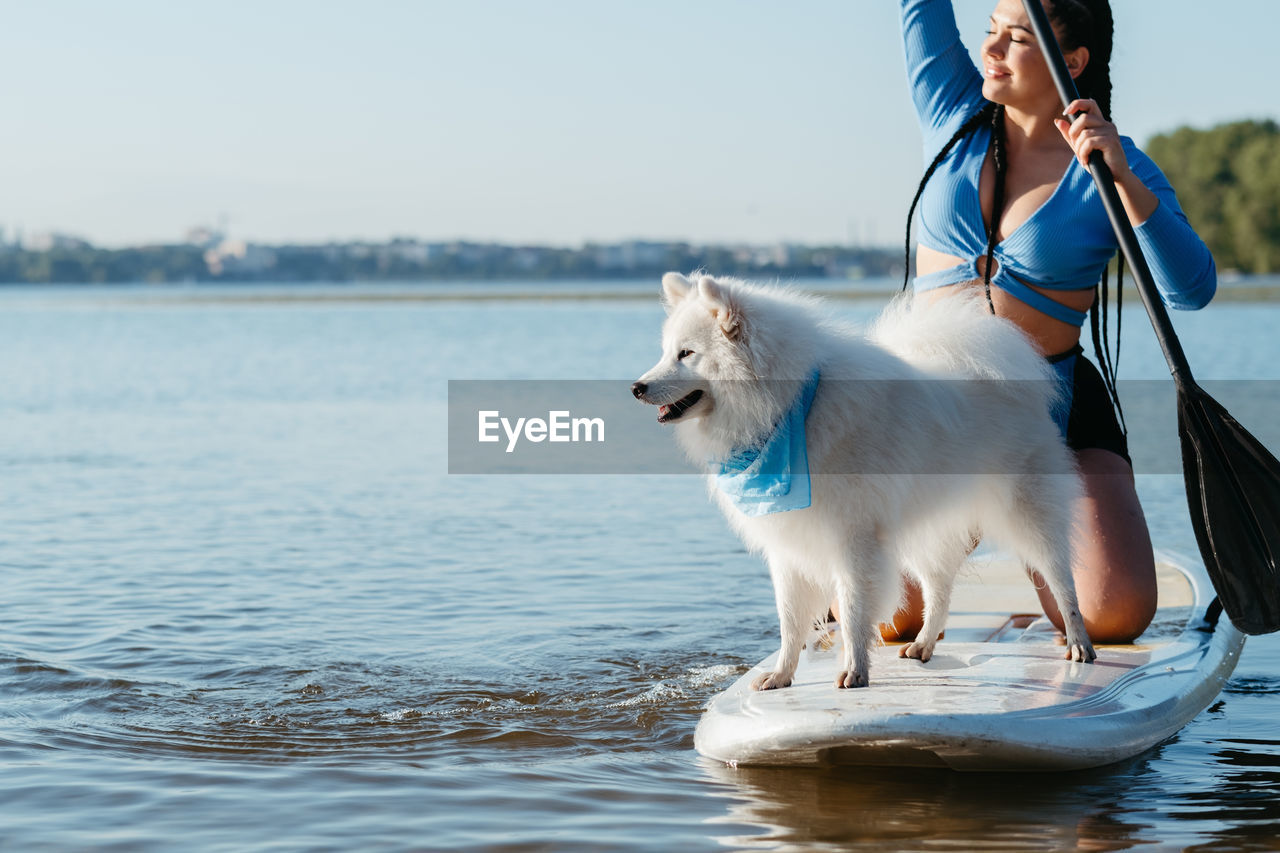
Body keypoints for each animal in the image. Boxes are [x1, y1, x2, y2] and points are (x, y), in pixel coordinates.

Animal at [634, 272, 1095, 686]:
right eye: (665, 352)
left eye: (686, 353)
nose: (637, 387)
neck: (792, 408)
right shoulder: (789, 543)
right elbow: (790, 618)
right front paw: (782, 674)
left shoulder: (853, 537)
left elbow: (854, 608)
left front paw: (855, 671)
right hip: (928, 527)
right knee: (940, 587)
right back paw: (924, 644)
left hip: (1026, 513)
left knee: (1062, 579)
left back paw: (1079, 643)